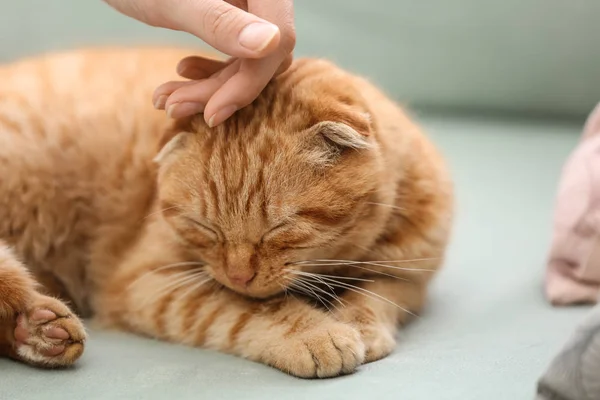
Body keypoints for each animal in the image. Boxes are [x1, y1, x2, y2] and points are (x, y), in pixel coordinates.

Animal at [0, 47, 450, 378]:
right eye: (205, 227)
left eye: (280, 227)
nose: (238, 276)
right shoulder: (150, 281)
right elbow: (249, 308)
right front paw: (317, 335)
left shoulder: (411, 276)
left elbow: (377, 296)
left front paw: (359, 324)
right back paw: (38, 323)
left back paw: (38, 331)